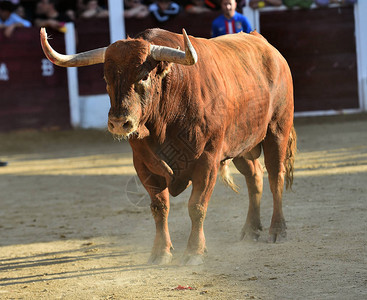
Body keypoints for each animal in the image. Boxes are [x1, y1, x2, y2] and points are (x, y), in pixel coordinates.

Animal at [40, 27, 298, 264]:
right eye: (106, 78)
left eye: (143, 76)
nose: (119, 122)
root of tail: (264, 44)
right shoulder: (143, 164)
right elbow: (159, 207)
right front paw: (161, 252)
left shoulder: (208, 160)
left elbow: (197, 206)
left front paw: (194, 251)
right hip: (242, 146)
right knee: (254, 177)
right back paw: (250, 230)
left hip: (277, 130)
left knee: (275, 177)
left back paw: (278, 230)